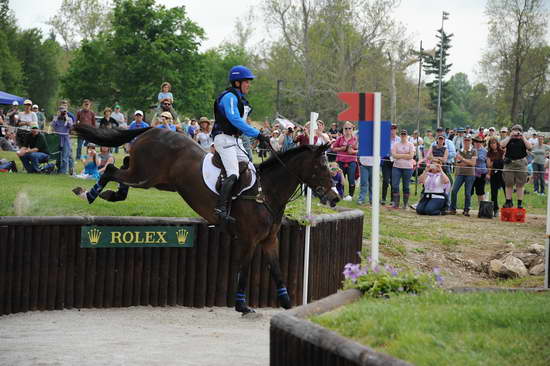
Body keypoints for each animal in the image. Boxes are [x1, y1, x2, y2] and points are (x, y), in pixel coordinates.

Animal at [72, 124, 340, 314]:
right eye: (321, 168)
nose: (335, 197)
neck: (267, 193)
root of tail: (153, 128)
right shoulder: (249, 241)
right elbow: (243, 270)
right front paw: (242, 305)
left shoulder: (269, 240)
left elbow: (276, 270)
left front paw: (287, 303)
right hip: (145, 177)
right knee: (111, 170)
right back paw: (90, 193)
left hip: (157, 181)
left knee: (122, 167)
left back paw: (111, 193)